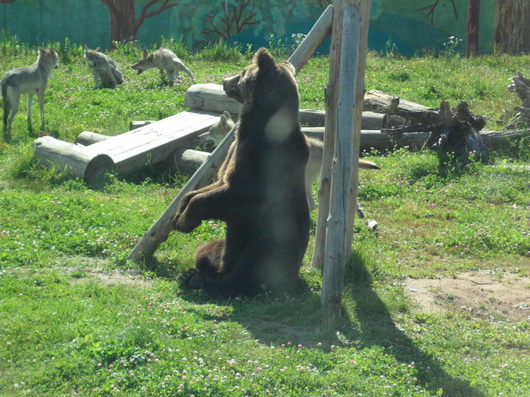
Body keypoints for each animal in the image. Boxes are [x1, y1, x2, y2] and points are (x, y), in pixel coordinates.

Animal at [171, 48, 308, 296]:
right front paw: (179, 213)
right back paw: (195, 273)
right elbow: (209, 187)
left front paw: (185, 221)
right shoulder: (234, 154)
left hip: (267, 242)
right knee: (208, 251)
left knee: (249, 269)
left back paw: (207, 283)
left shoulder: (260, 160)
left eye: (242, 72)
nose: (225, 80)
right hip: (224, 246)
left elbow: (235, 196)